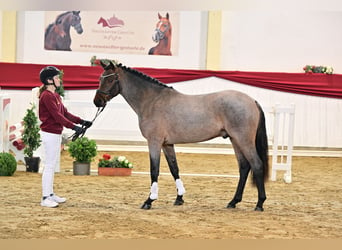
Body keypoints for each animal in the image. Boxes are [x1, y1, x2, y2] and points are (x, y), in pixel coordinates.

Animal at [93, 60, 270, 211]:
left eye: (109, 80)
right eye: (100, 78)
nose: (97, 101)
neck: (152, 101)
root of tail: (252, 101)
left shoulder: (154, 142)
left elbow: (154, 170)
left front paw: (149, 200)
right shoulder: (167, 144)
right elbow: (174, 169)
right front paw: (179, 198)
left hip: (243, 139)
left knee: (256, 164)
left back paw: (259, 203)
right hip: (235, 140)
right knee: (244, 167)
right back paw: (233, 202)